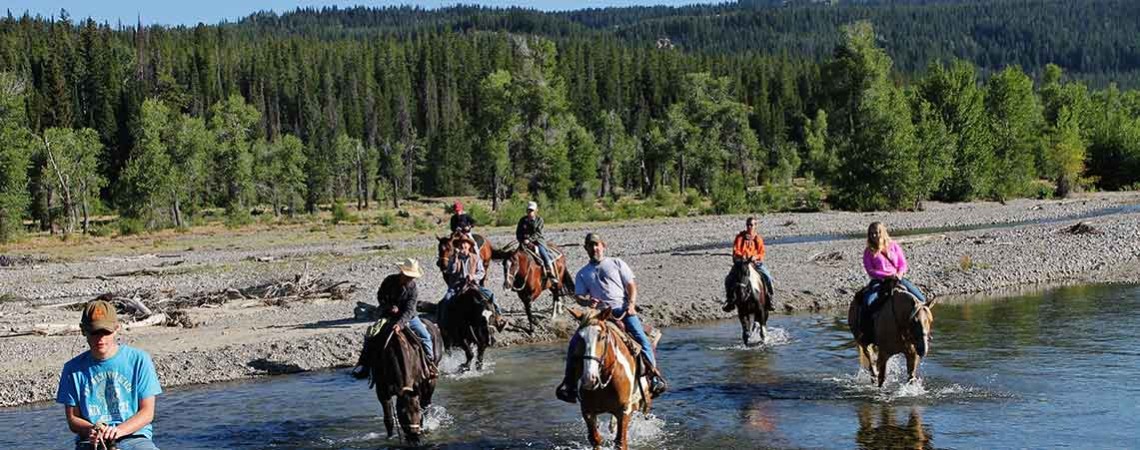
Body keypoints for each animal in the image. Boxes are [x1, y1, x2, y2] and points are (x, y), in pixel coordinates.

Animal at [362, 318, 442, 446]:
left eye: (417, 411)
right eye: (402, 414)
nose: (414, 439)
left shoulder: (418, 386)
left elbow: (422, 409)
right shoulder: (382, 391)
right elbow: (388, 419)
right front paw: (389, 438)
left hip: (431, 379)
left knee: (427, 404)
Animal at [565, 307, 656, 450]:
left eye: (601, 337)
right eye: (579, 338)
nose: (589, 379)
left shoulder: (624, 410)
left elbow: (621, 442)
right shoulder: (587, 410)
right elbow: (596, 439)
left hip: (644, 400)